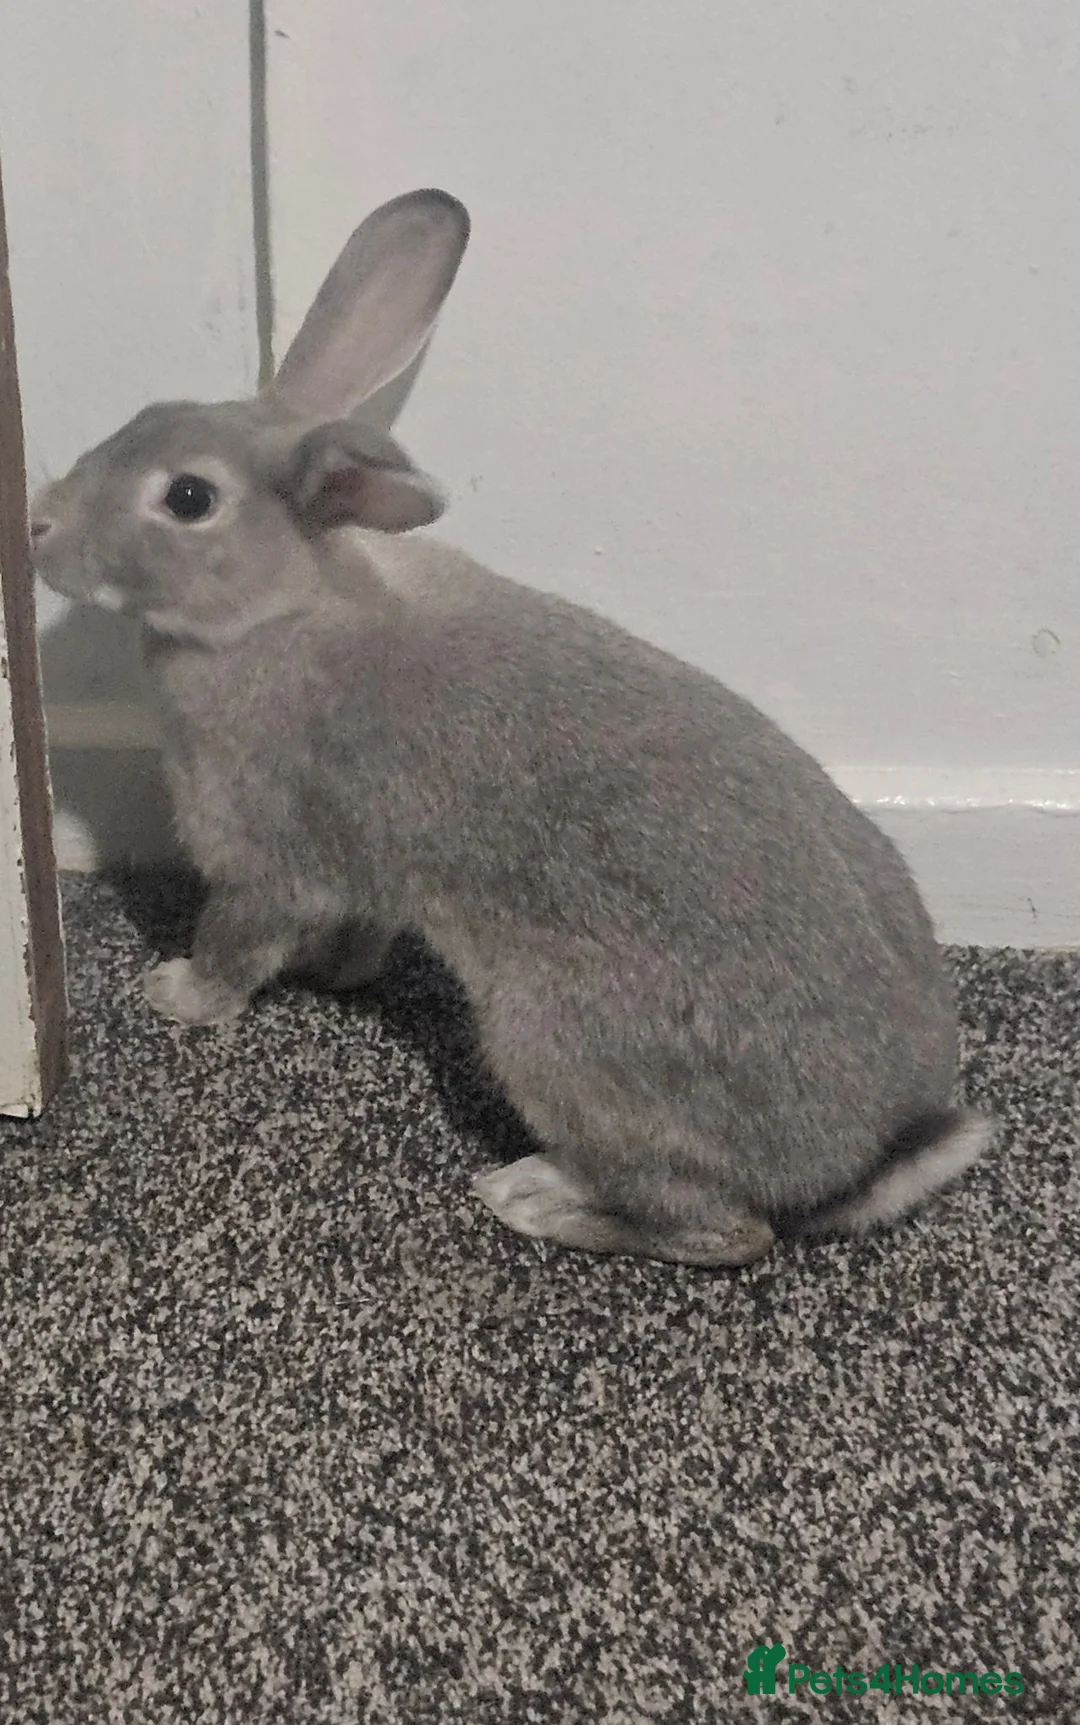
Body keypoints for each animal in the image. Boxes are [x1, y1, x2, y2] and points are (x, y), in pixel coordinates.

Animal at [31, 188, 995, 1267]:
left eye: (188, 497)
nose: (38, 526)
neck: (276, 609)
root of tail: (864, 1154)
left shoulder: (263, 853)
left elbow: (237, 940)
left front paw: (178, 994)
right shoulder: (361, 869)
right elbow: (355, 928)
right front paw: (337, 974)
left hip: (558, 1048)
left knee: (726, 1230)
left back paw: (534, 1196)